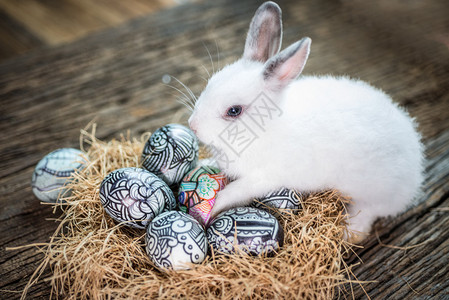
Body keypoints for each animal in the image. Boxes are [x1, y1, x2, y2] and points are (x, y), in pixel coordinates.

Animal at [186, 1, 424, 241]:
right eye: (210, 82)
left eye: (234, 111)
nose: (192, 126)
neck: (264, 129)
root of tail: (416, 166)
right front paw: (203, 164)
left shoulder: (261, 179)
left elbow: (233, 193)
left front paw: (211, 210)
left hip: (372, 191)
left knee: (370, 211)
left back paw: (351, 233)